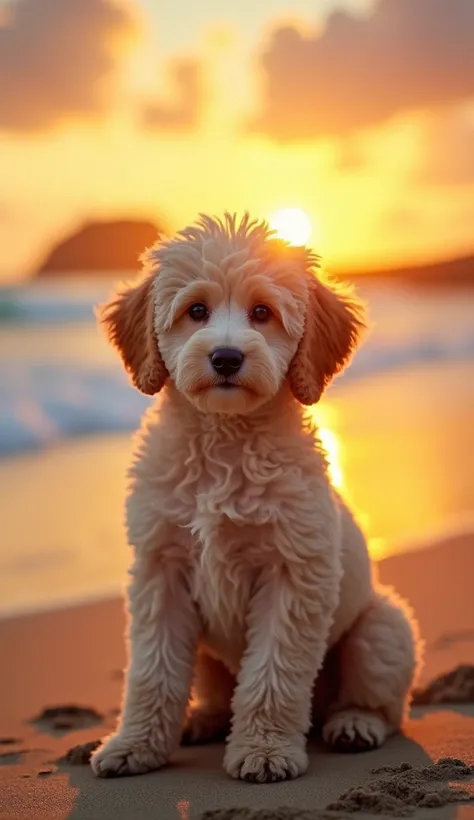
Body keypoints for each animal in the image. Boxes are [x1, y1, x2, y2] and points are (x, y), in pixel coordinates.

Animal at [90, 210, 422, 780]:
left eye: (262, 312)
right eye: (196, 311)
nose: (225, 358)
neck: (224, 441)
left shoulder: (293, 574)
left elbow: (272, 672)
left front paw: (264, 750)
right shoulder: (160, 571)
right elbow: (153, 672)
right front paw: (133, 746)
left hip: (383, 628)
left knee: (378, 702)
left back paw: (355, 723)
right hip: (208, 656)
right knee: (212, 689)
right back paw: (202, 720)